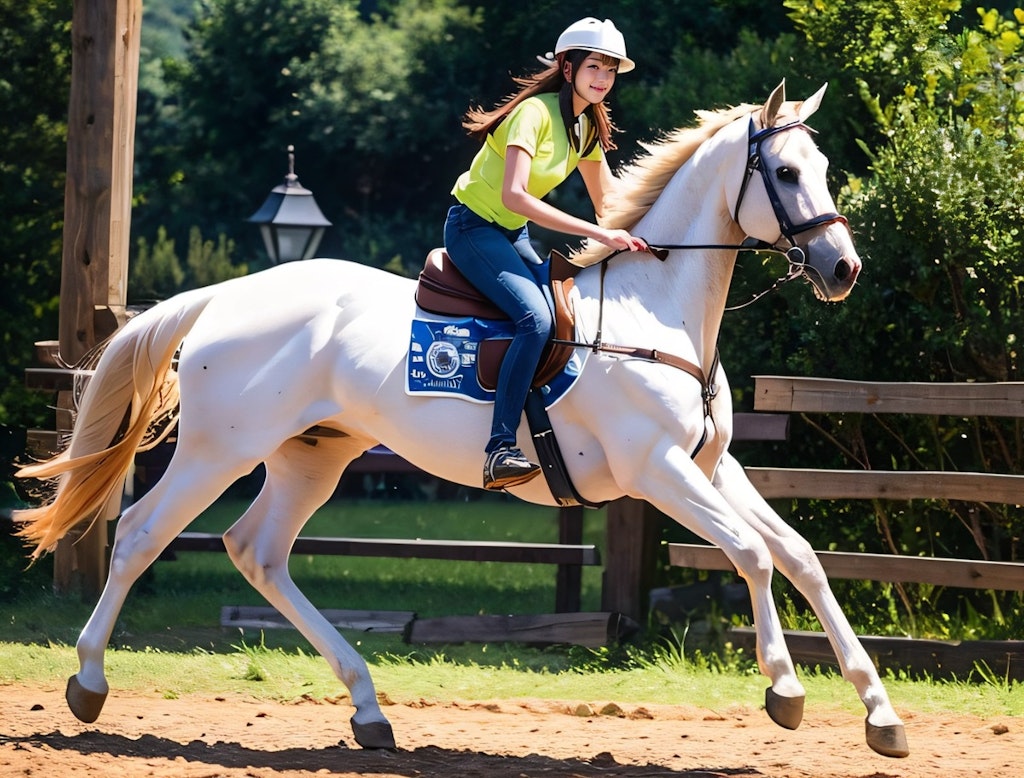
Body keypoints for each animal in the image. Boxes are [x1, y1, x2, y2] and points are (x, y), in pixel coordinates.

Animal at [14, 81, 913, 757]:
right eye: (787, 172)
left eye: (822, 166)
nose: (844, 267)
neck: (657, 311)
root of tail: (224, 295)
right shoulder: (657, 470)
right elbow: (752, 556)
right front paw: (785, 688)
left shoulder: (711, 464)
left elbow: (801, 557)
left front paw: (881, 713)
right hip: (216, 450)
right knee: (140, 535)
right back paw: (88, 684)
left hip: (313, 456)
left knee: (256, 551)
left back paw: (369, 710)